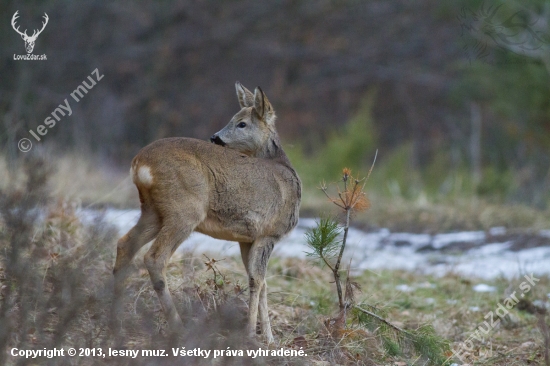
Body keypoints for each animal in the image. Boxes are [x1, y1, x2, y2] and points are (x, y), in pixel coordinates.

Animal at [112, 81, 302, 342]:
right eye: (235, 119)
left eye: (242, 123)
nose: (215, 137)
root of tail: (139, 163)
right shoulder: (270, 232)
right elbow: (257, 280)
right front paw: (253, 336)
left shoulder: (248, 238)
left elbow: (260, 282)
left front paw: (269, 339)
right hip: (185, 209)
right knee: (154, 257)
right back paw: (178, 327)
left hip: (153, 211)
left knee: (124, 244)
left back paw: (113, 314)